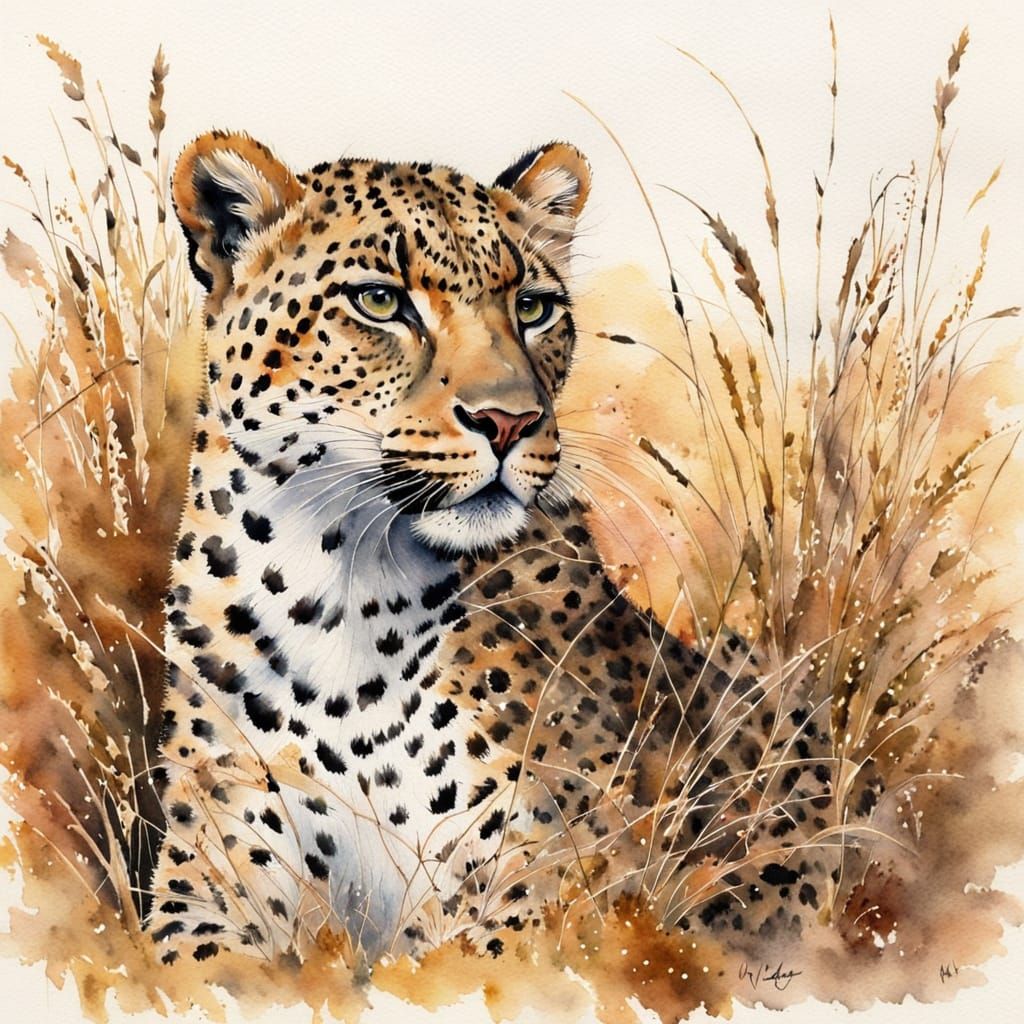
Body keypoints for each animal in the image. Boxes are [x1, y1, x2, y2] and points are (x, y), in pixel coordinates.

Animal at [147, 130, 847, 970]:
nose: (509, 421)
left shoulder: (552, 886)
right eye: (380, 301)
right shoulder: (206, 874)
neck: (340, 581)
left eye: (532, 308)